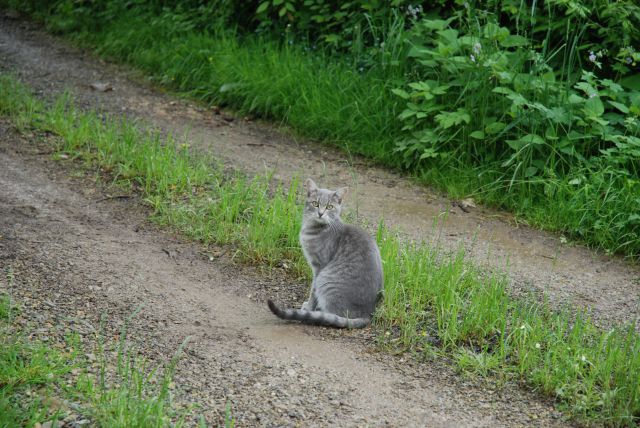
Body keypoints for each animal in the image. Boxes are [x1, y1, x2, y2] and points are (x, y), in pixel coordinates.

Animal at [268, 177, 382, 328]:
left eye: (329, 207)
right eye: (315, 204)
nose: (320, 213)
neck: (314, 228)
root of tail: (367, 314)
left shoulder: (318, 266)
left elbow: (313, 291)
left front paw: (309, 307)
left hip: (325, 279)